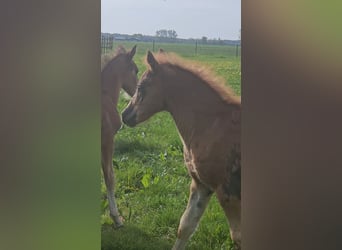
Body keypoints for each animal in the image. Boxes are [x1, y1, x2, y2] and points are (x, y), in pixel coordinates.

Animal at [121, 51, 242, 249]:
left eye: (141, 86)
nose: (125, 115)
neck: (212, 125)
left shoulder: (227, 192)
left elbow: (238, 237)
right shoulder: (201, 185)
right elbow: (185, 226)